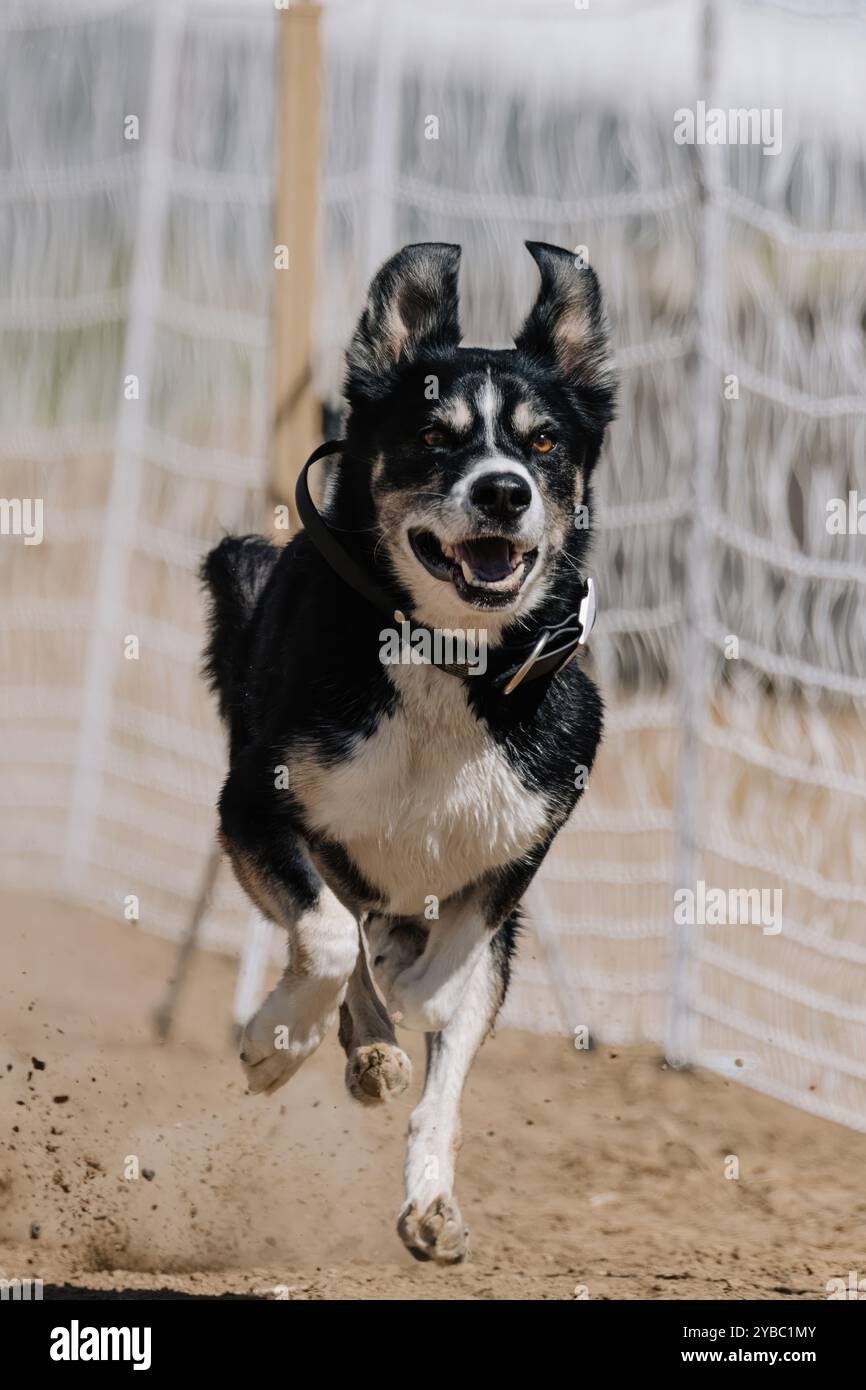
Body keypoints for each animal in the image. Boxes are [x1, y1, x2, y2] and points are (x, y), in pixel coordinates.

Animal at [202, 244, 617, 1267]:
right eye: (434, 434)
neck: (443, 659)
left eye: (544, 444)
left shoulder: (521, 845)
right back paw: (338, 1044)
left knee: (444, 1067)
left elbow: (449, 976)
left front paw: (407, 996)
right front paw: (275, 1040)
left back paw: (426, 1192)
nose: (503, 490)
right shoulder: (255, 808)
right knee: (338, 940)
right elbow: (322, 937)